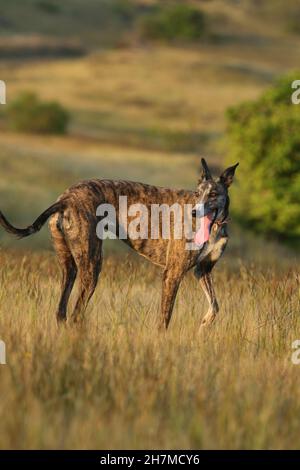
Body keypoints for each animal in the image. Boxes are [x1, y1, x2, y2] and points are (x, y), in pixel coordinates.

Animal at [0, 160, 239, 328]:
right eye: (198, 194)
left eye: (214, 193)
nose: (194, 212)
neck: (214, 227)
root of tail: (66, 198)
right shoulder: (173, 274)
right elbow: (165, 319)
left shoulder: (203, 270)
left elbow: (215, 306)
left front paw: (205, 324)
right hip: (92, 267)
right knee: (76, 314)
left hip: (70, 268)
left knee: (61, 312)